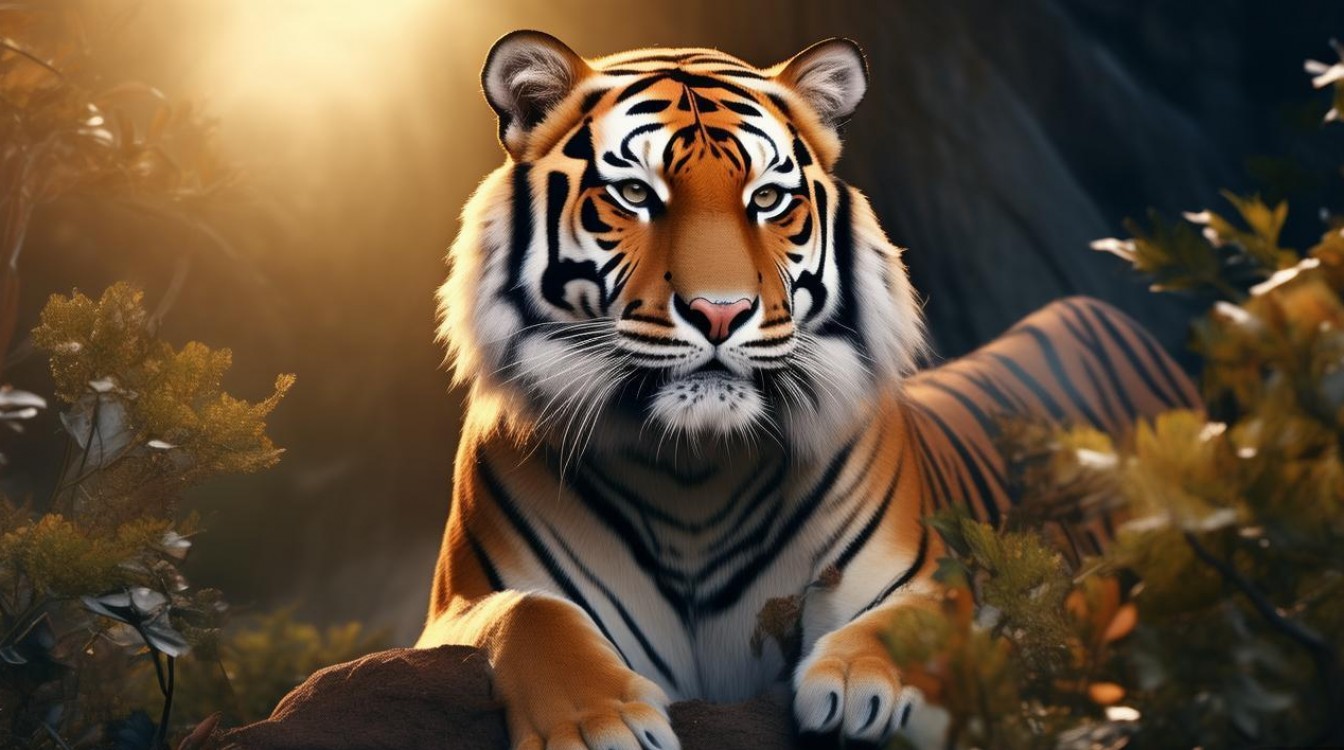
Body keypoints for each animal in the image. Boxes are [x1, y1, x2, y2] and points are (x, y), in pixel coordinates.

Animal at [417, 30, 1199, 750]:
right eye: (635, 193)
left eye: (767, 199)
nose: (721, 313)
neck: (691, 471)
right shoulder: (456, 608)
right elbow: (530, 611)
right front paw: (595, 726)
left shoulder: (922, 571)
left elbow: (919, 615)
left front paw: (864, 686)